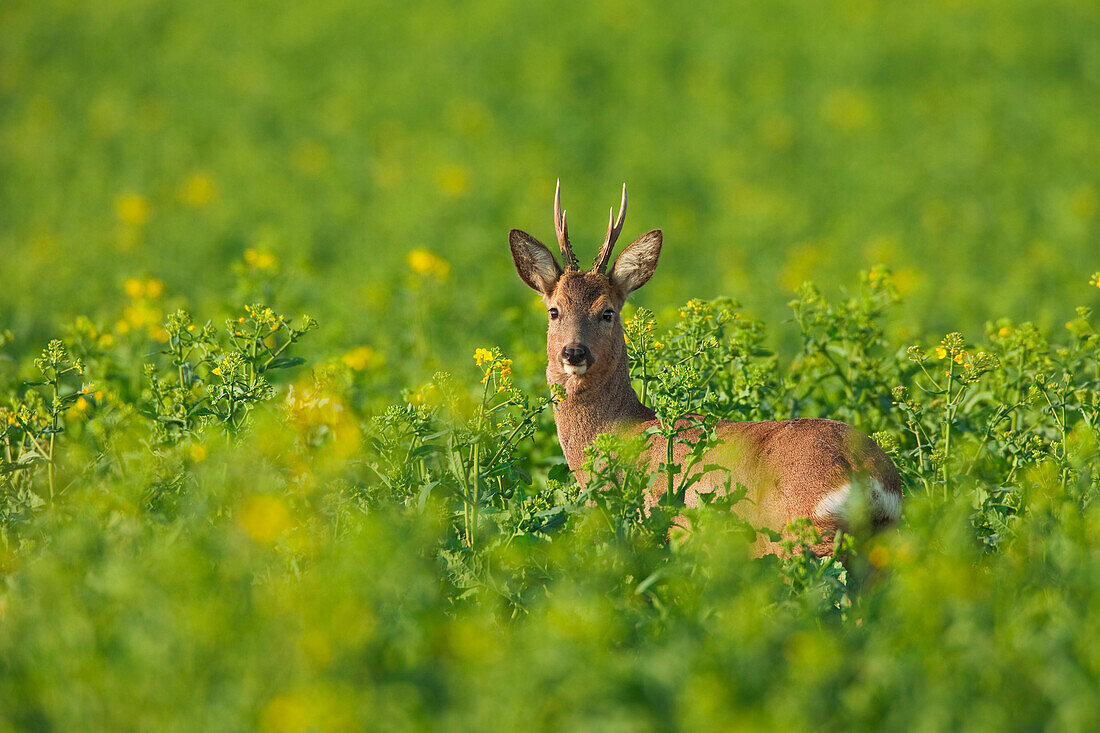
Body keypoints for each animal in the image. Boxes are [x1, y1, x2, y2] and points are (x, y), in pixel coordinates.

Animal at [508, 181, 902, 554]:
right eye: (554, 310)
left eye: (607, 312)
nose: (574, 352)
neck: (626, 432)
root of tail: (866, 476)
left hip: (798, 532)